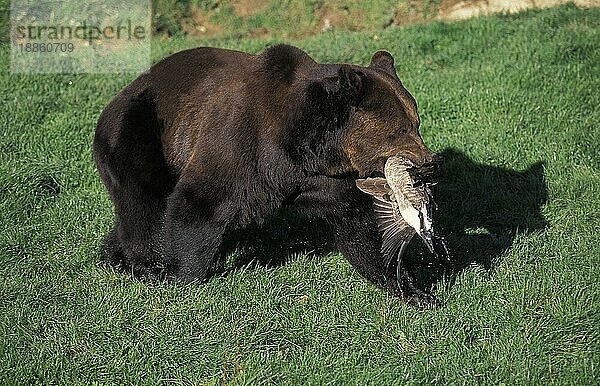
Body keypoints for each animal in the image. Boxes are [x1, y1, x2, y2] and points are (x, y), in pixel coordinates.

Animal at [94, 43, 440, 308]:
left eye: (417, 122)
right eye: (399, 130)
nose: (429, 163)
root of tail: (117, 96)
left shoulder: (327, 183)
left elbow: (362, 231)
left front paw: (415, 291)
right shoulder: (239, 146)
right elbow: (199, 205)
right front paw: (182, 276)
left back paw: (114, 253)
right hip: (141, 132)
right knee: (143, 207)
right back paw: (144, 264)